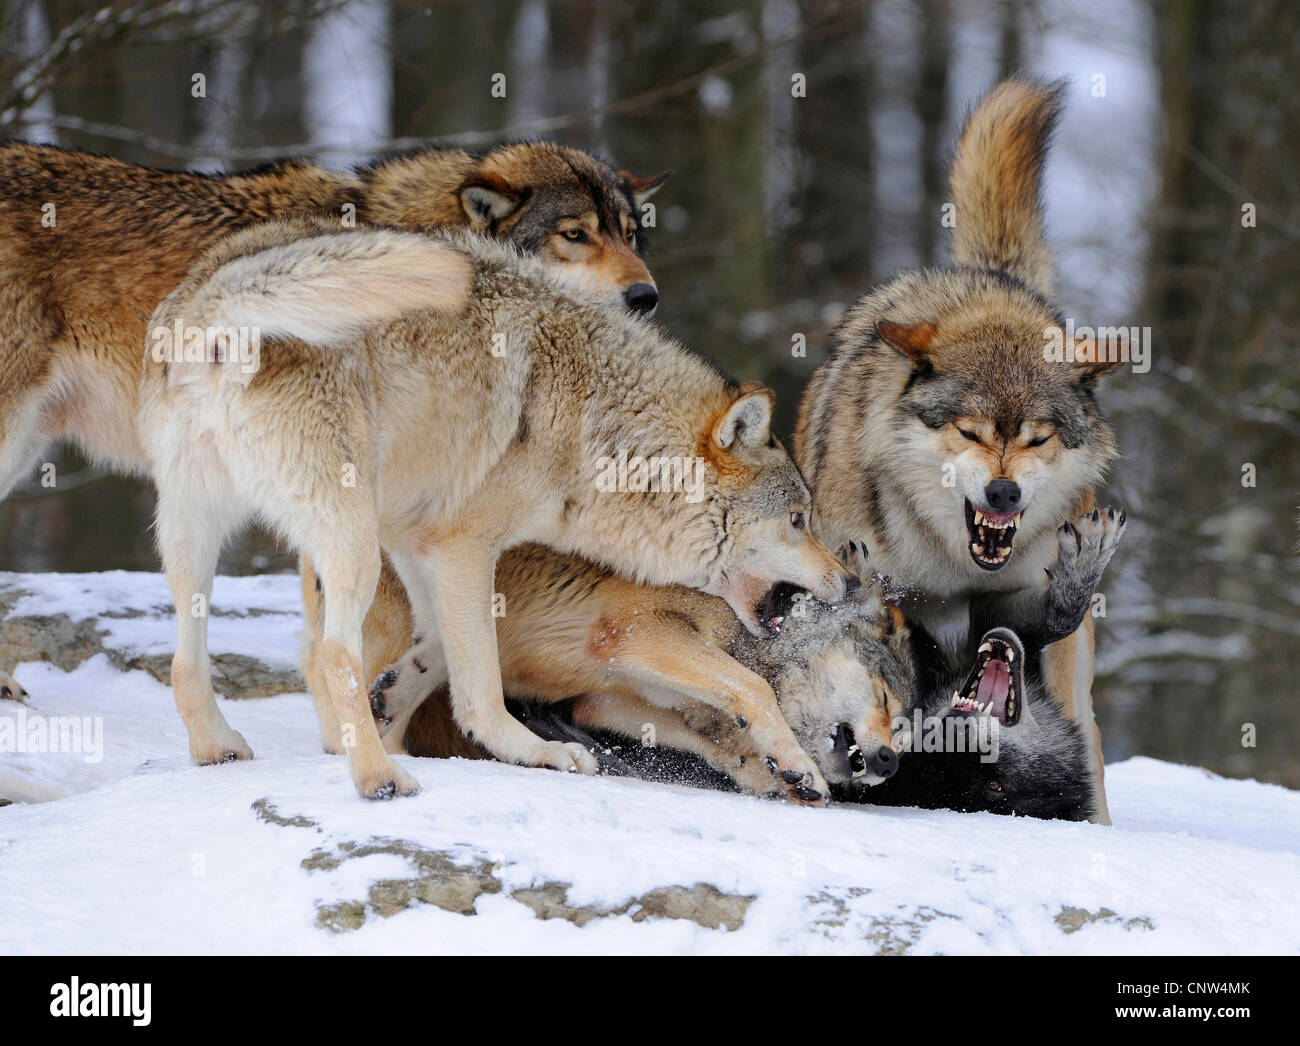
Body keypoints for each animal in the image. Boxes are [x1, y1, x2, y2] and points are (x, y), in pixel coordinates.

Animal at [142, 222, 857, 800]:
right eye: (799, 520)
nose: (852, 581)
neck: (596, 424)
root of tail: (215, 300)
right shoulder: (463, 546)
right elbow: (482, 691)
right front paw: (800, 768)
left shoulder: (417, 541)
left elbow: (437, 649)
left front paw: (397, 692)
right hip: (350, 543)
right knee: (332, 658)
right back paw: (380, 778)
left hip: (199, 535)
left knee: (185, 659)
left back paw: (218, 749)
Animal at [351, 543, 915, 795]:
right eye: (885, 700)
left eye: (905, 732)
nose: (890, 763)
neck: (762, 629)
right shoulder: (636, 634)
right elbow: (755, 690)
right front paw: (800, 769)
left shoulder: (606, 698)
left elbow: (716, 743)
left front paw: (777, 777)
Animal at [785, 77, 1133, 821]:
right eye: (969, 432)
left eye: (1036, 437)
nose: (1004, 490)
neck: (949, 559)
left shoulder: (1012, 610)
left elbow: (1051, 614)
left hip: (1072, 679)